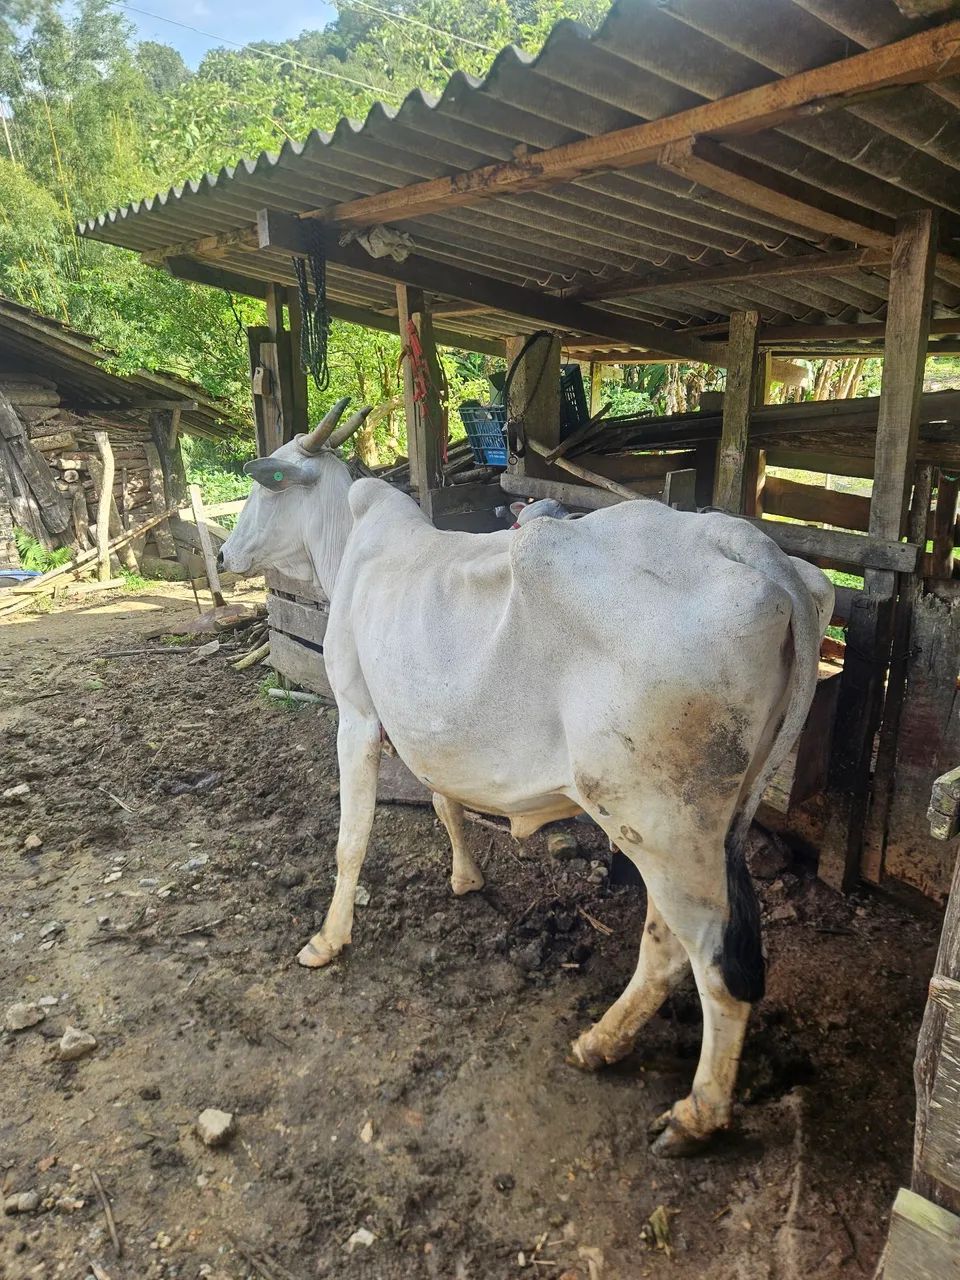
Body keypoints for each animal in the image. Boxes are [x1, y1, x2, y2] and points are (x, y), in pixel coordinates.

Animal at [219, 398, 834, 1156]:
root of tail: (761, 551)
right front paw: (466, 877)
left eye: (264, 487)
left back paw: (694, 1114)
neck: (351, 545)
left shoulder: (358, 713)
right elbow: (444, 801)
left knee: (715, 967)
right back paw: (602, 1042)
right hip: (694, 827)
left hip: (663, 825)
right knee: (667, 943)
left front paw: (328, 940)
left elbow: (351, 840)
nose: (225, 555)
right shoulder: (426, 728)